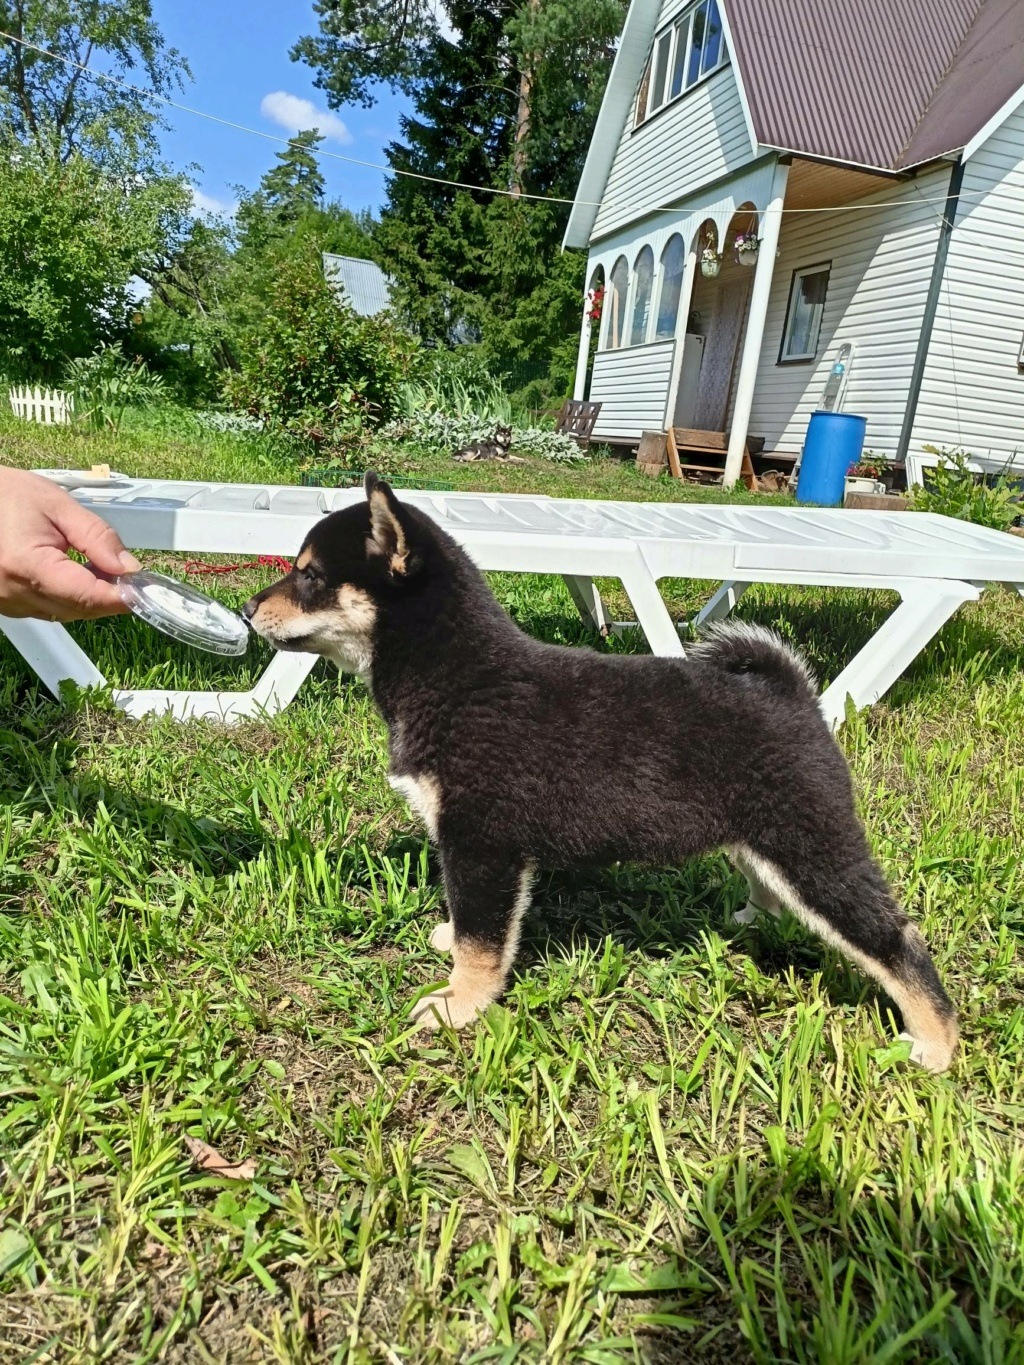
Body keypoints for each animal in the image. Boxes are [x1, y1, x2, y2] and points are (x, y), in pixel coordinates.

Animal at [243, 475, 961, 1070]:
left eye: (310, 576)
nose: (249, 610)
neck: (454, 675)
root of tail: (792, 694)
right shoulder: (472, 849)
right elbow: (469, 919)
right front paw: (451, 945)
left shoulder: (482, 842)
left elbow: (484, 940)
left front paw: (458, 1006)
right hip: (765, 840)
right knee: (782, 893)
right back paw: (752, 921)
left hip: (810, 846)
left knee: (895, 938)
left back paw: (936, 1041)